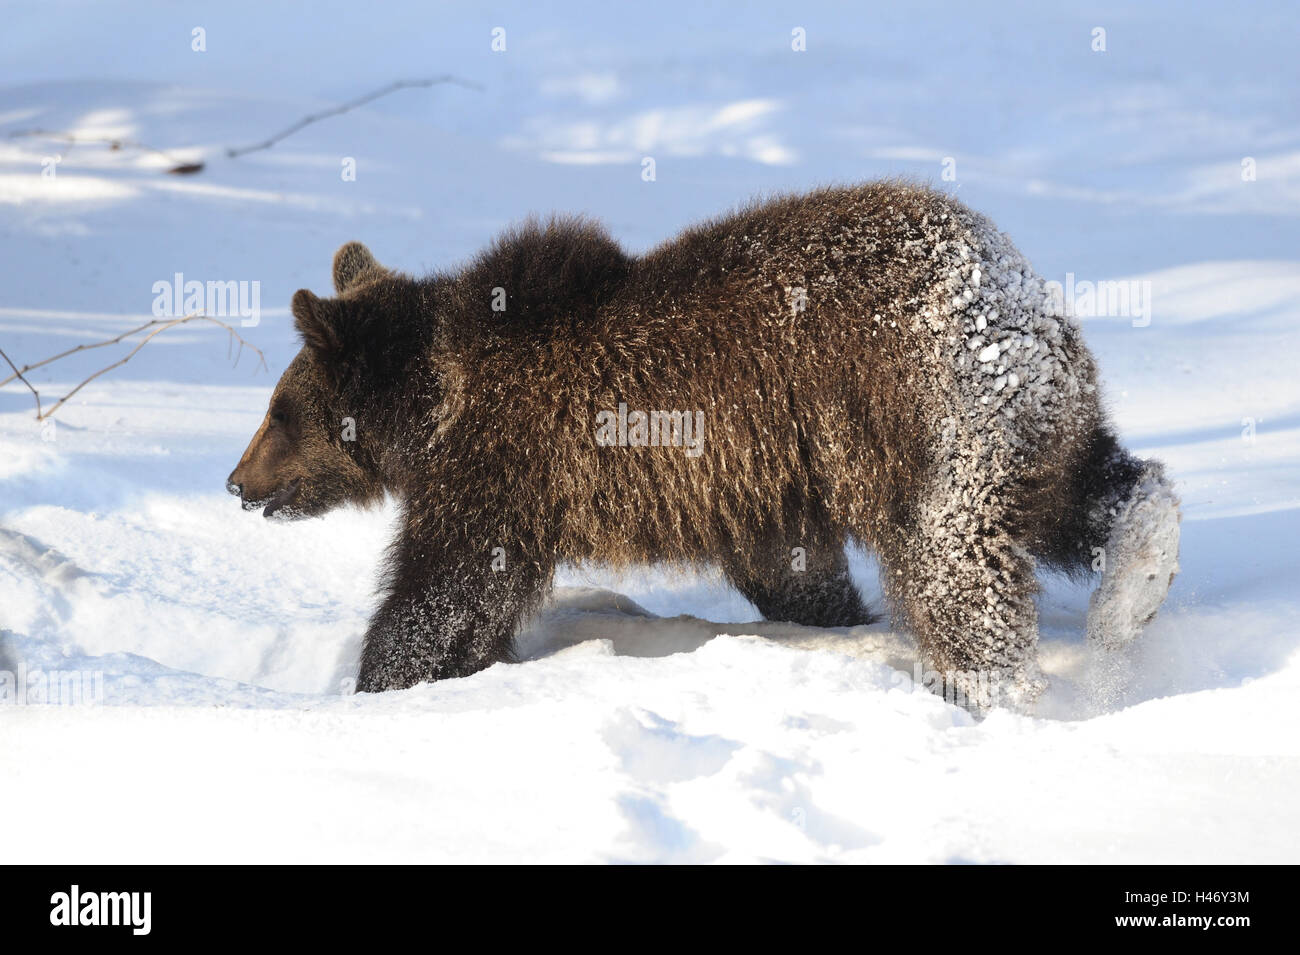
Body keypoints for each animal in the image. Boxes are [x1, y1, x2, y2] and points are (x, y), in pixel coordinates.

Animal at [223, 180, 1180, 712]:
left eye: (279, 410)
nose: (235, 480)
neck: (436, 403)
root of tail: (1008, 291)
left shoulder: (504, 468)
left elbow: (441, 591)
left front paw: (377, 685)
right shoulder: (763, 475)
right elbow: (795, 571)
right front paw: (832, 617)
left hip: (912, 420)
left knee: (956, 564)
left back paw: (989, 688)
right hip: (1027, 417)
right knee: (1087, 489)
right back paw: (1137, 580)